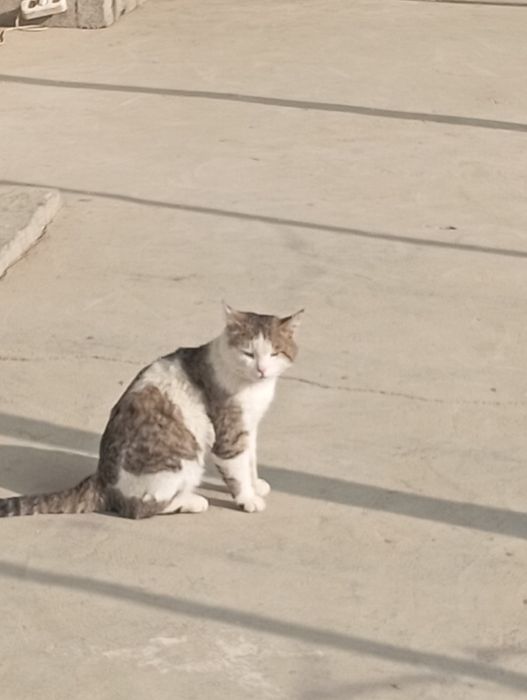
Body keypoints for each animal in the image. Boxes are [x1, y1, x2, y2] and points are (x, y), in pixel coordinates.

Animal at [0, 305, 303, 519]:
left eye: (274, 353)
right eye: (248, 353)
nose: (261, 369)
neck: (253, 386)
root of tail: (100, 481)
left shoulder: (249, 426)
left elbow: (250, 460)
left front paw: (256, 484)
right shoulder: (228, 432)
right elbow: (238, 469)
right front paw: (248, 499)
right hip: (182, 463)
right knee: (139, 509)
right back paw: (192, 501)